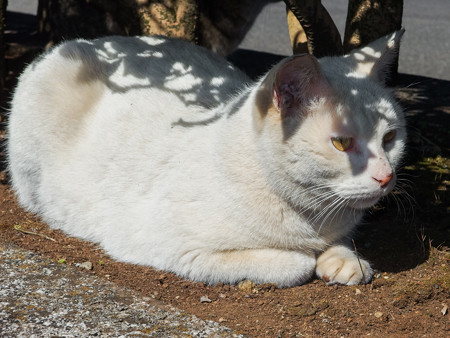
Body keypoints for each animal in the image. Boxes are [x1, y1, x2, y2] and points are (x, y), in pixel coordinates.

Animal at [7, 30, 408, 286]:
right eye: (341, 143)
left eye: (390, 138)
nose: (385, 176)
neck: (310, 217)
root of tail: (91, 41)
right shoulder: (171, 246)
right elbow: (293, 263)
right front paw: (311, 257)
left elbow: (341, 243)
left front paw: (344, 259)